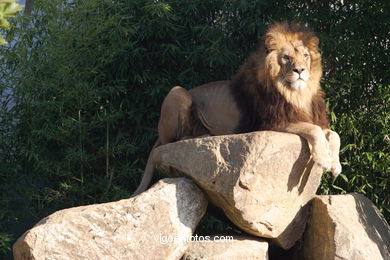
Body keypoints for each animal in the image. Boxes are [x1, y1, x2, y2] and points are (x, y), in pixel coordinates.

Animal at [132, 22, 342, 196]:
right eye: (286, 58)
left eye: (305, 56)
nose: (300, 70)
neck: (296, 93)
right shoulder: (272, 122)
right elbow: (314, 130)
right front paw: (324, 159)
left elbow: (333, 134)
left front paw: (336, 164)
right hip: (177, 92)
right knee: (175, 141)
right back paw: (204, 135)